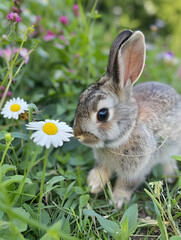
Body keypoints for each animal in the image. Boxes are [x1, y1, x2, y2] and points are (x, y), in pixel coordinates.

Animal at [73, 29, 180, 208]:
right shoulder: (103, 163)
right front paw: (93, 186)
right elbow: (101, 172)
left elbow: (126, 184)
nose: (78, 135)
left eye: (102, 114)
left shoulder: (137, 170)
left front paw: (117, 201)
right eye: (80, 100)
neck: (127, 131)